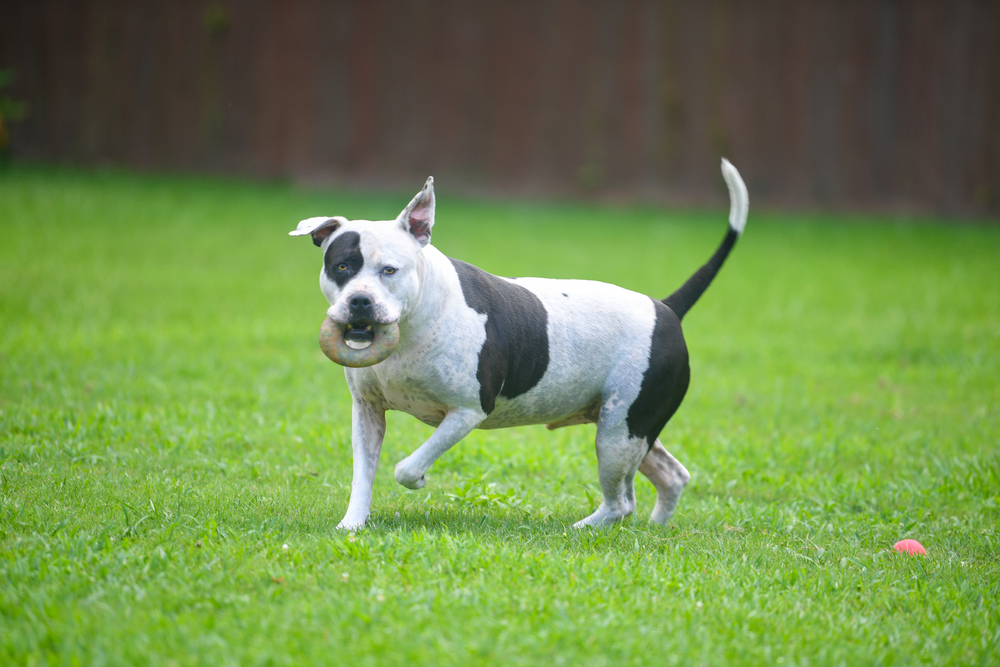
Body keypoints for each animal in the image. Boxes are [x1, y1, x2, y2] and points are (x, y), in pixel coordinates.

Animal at [286, 159, 748, 528]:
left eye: (389, 270)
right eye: (341, 266)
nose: (359, 302)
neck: (416, 322)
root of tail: (666, 308)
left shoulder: (467, 412)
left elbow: (405, 467)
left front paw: (418, 479)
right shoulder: (367, 413)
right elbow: (363, 475)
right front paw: (352, 524)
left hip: (618, 436)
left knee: (622, 502)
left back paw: (583, 529)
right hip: (630, 428)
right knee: (672, 476)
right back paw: (655, 528)